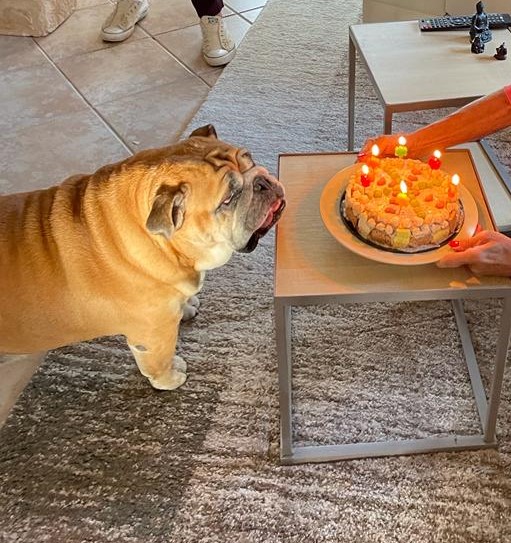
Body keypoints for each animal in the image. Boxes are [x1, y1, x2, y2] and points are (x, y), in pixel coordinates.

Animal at [0, 125, 285, 390]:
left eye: (251, 160)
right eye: (227, 199)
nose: (262, 182)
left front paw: (187, 306)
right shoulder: (153, 334)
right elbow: (160, 360)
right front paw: (170, 379)